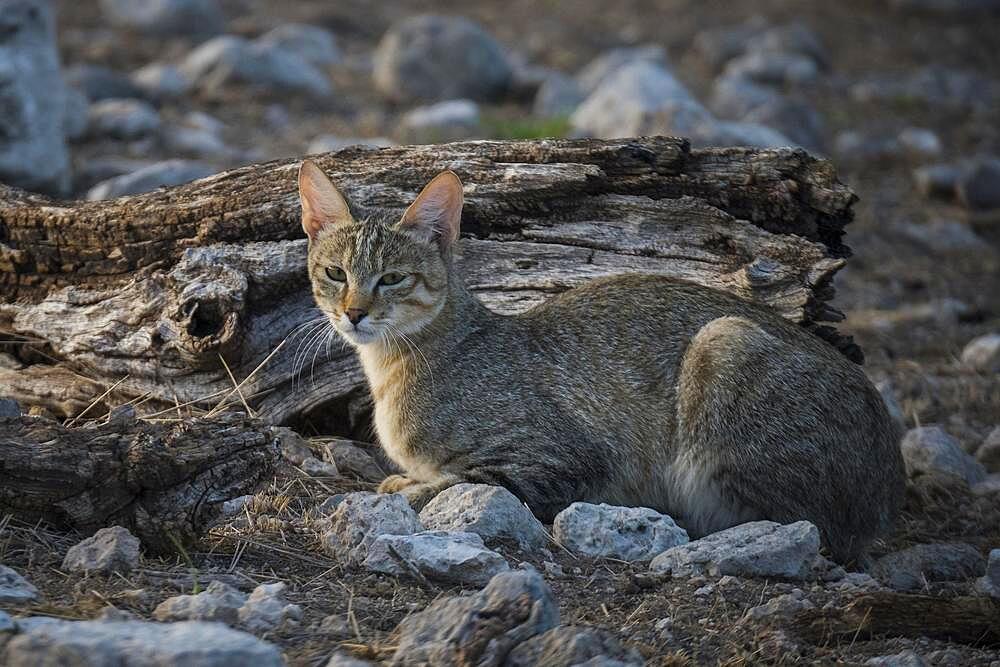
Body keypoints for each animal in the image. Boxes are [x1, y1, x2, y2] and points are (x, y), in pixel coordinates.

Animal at [296, 160, 908, 564]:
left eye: (392, 278)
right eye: (335, 273)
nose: (353, 313)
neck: (395, 365)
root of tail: (893, 478)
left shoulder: (558, 459)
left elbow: (453, 484)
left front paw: (405, 488)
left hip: (724, 342)